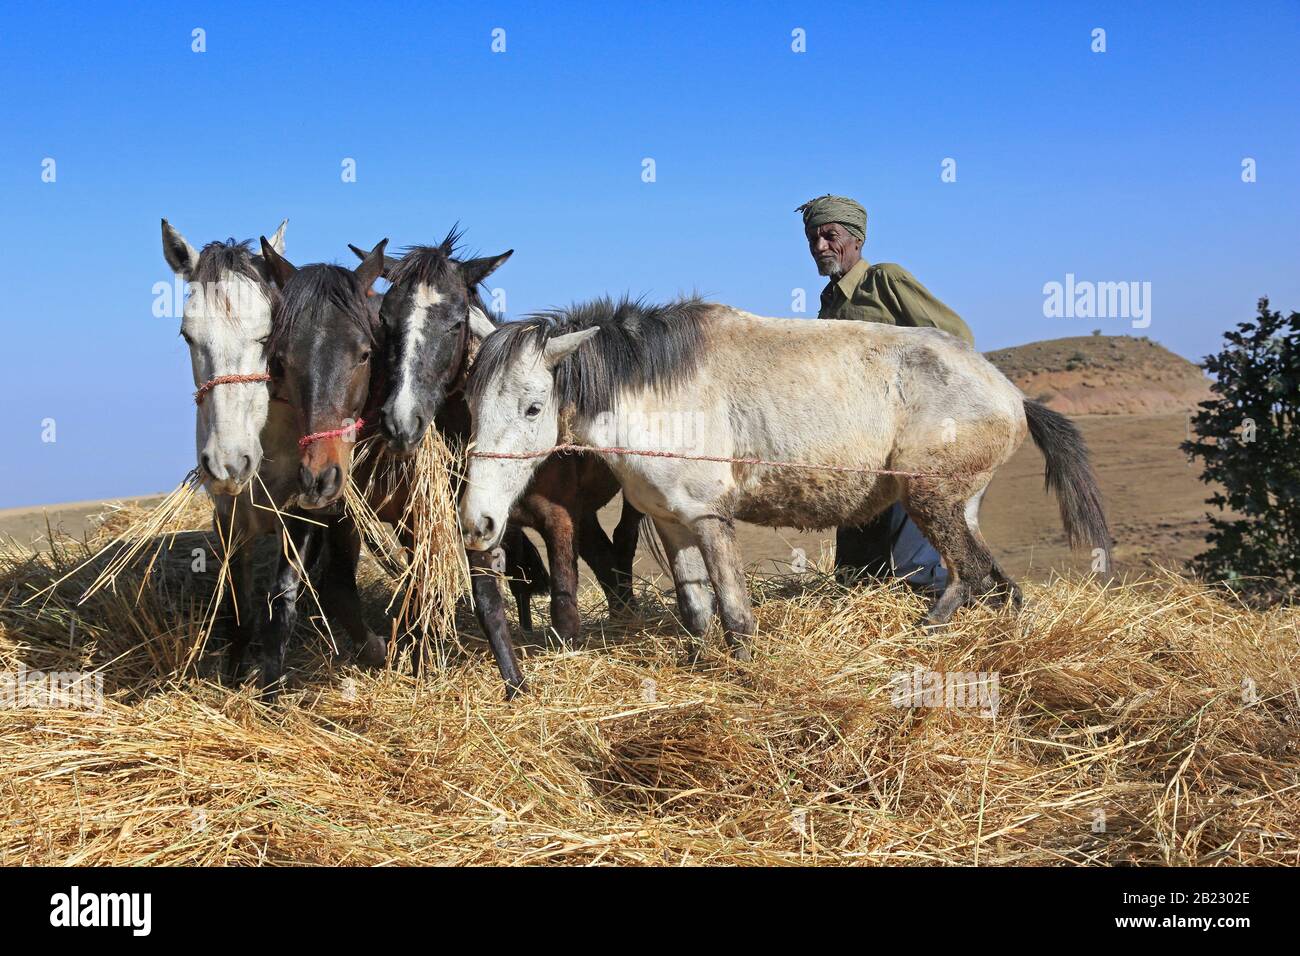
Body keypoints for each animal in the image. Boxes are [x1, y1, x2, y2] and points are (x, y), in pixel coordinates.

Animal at [457, 297, 1107, 658]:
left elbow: (736, 617)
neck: (653, 389)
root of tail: (1014, 396)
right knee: (985, 578)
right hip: (957, 505)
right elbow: (696, 610)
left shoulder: (710, 519)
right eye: (470, 405)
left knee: (972, 574)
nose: (477, 521)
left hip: (932, 499)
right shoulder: (671, 523)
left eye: (533, 408)